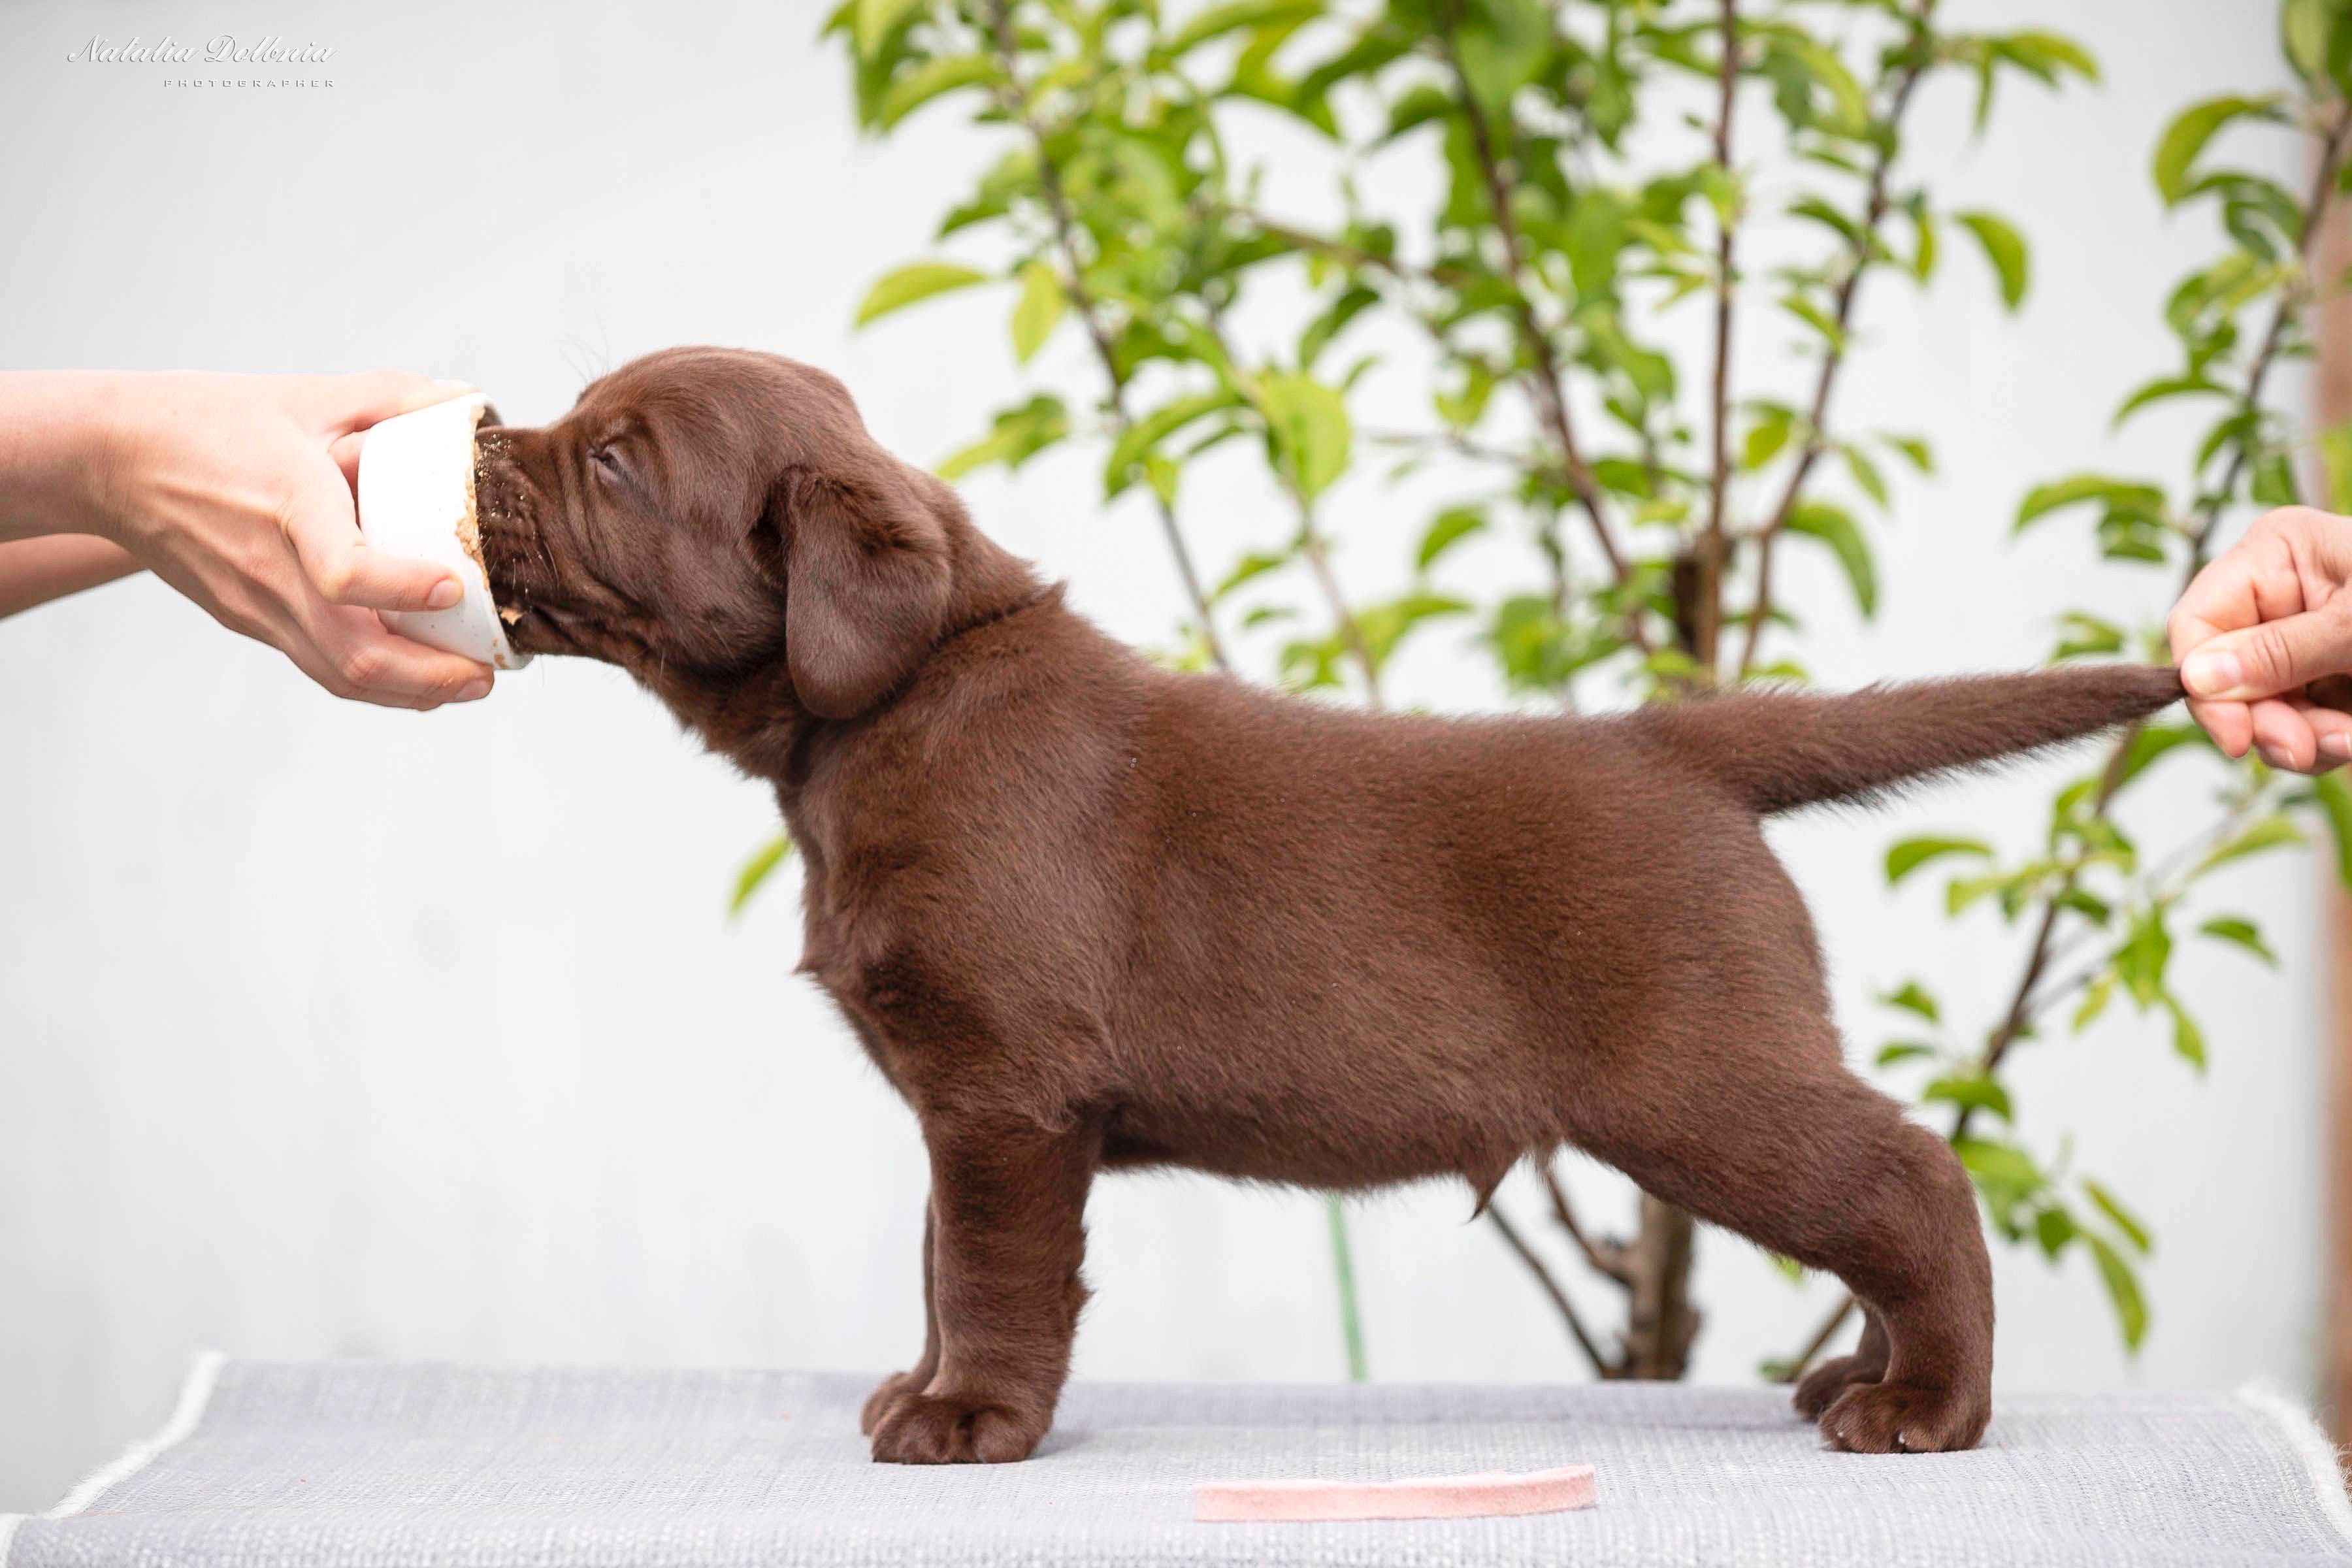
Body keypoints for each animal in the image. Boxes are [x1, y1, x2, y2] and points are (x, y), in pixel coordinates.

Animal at [472, 343, 2182, 1457]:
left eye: (615, 458)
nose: (483, 441)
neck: (898, 702)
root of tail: (1674, 737)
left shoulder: (1007, 1094)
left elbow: (988, 1270)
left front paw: (969, 1417)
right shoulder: (962, 1101)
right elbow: (939, 1262)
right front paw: (924, 1385)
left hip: (1696, 1082)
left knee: (1908, 1177)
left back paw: (1927, 1406)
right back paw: (1860, 1378)